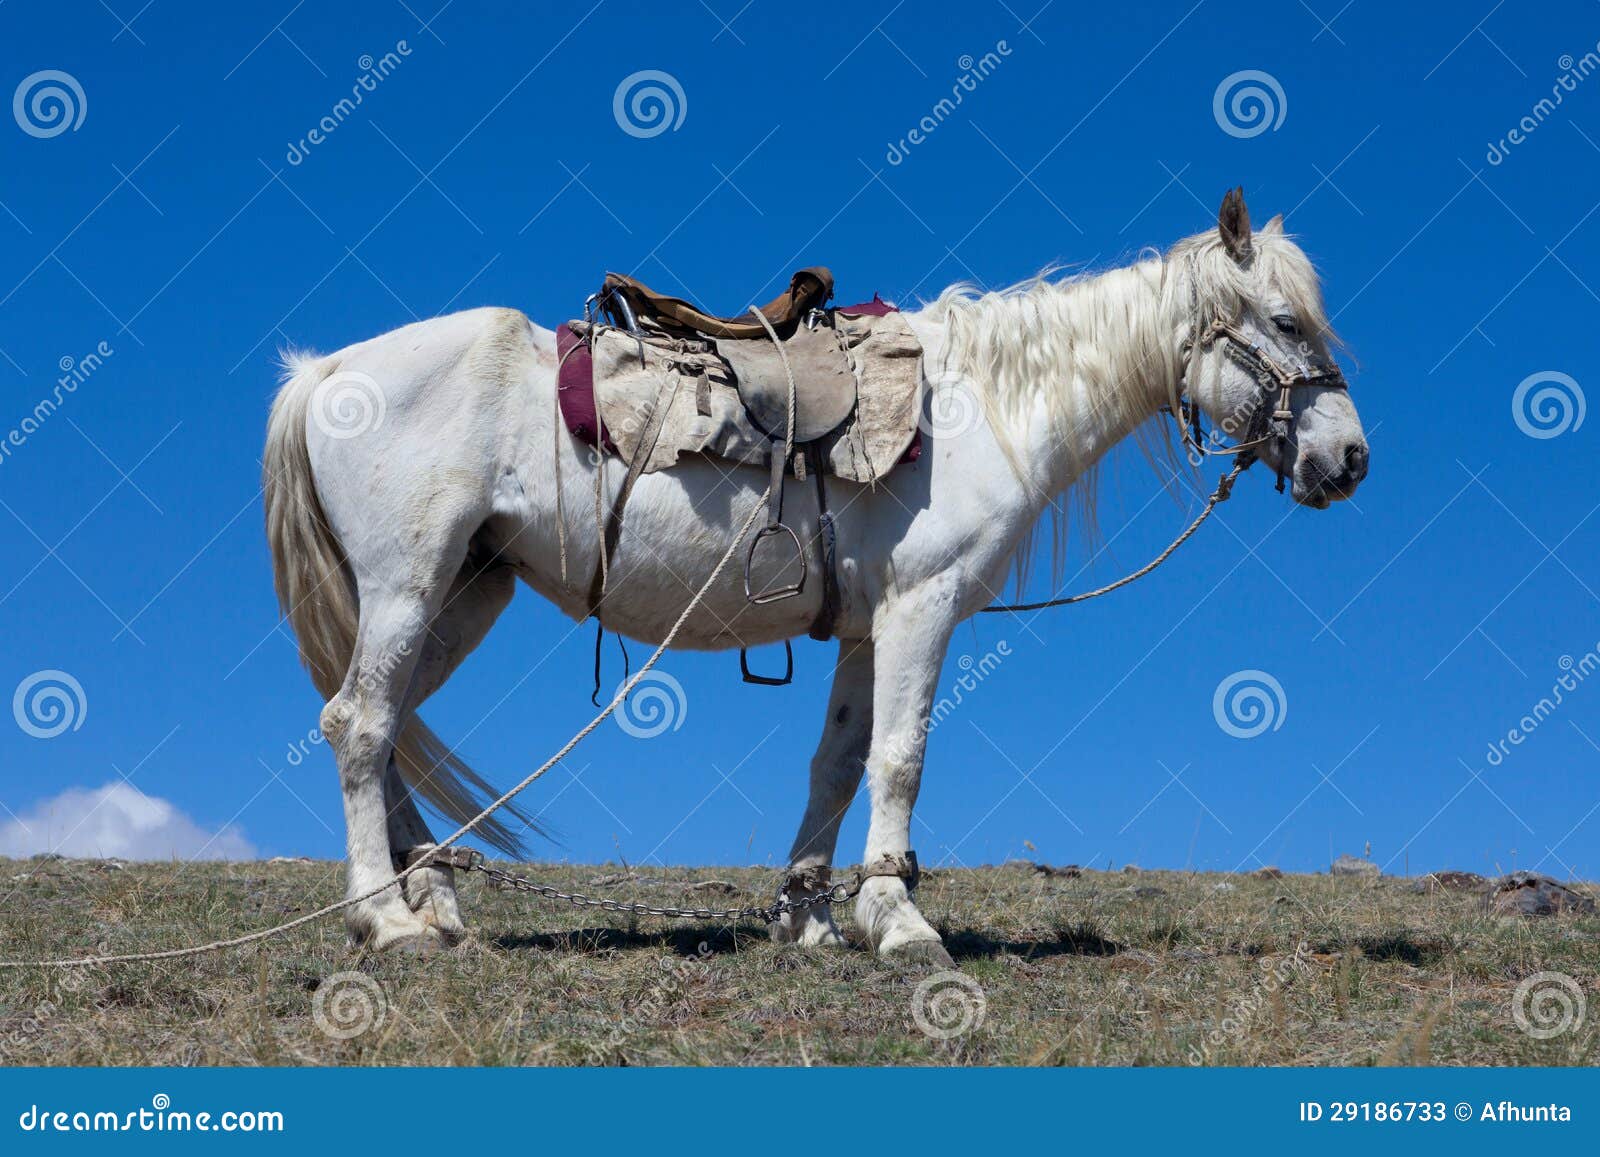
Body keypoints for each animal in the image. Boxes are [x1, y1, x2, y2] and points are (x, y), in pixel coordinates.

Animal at [262, 189, 1368, 960]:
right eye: (1284, 320)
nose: (1350, 460)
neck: (980, 405)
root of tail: (323, 373)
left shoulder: (869, 626)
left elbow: (836, 762)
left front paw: (811, 918)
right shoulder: (925, 606)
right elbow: (900, 758)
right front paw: (900, 919)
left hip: (463, 590)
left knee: (385, 723)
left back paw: (436, 899)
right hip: (410, 583)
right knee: (361, 722)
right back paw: (386, 921)